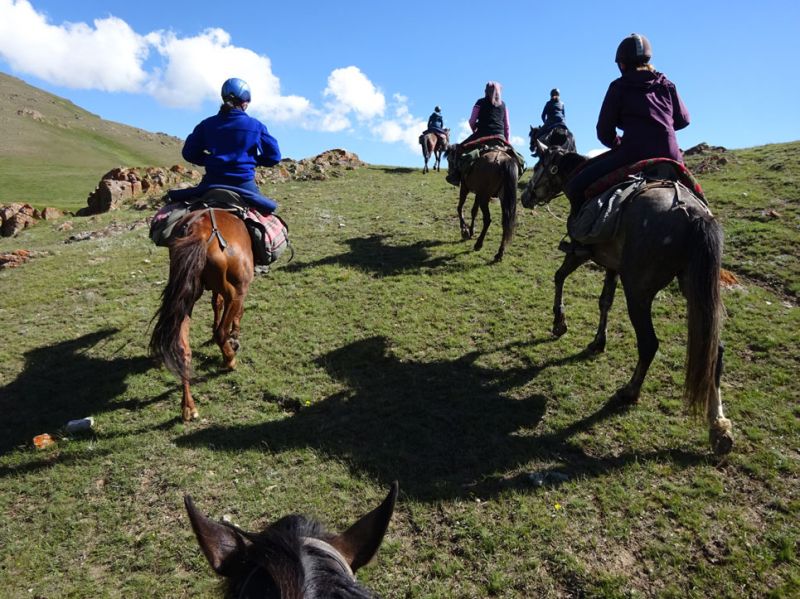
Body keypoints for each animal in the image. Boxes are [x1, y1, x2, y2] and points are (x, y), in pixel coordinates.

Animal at [148, 209, 252, 424]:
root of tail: (199, 231)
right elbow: (231, 313)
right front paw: (235, 335)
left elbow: (216, 303)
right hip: (236, 291)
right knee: (221, 332)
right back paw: (229, 360)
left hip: (185, 299)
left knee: (182, 349)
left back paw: (188, 408)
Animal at [520, 138, 736, 452]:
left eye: (539, 166)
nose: (525, 196)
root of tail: (693, 214)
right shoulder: (612, 264)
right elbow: (604, 301)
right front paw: (598, 341)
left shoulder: (581, 253)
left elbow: (559, 277)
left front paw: (559, 323)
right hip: (694, 289)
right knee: (714, 351)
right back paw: (719, 426)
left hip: (638, 291)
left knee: (649, 343)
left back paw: (630, 391)